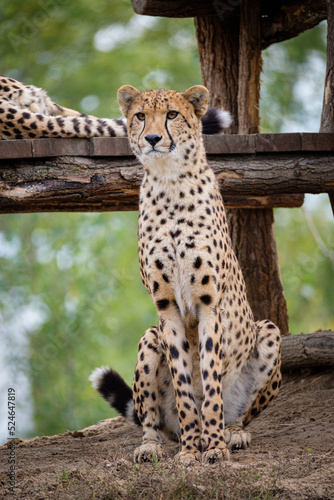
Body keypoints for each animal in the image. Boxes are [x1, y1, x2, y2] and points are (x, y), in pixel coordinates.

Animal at [90, 85, 280, 464]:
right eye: (140, 116)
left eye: (172, 115)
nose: (151, 138)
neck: (169, 182)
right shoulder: (166, 309)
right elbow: (184, 383)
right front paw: (192, 449)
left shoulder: (209, 305)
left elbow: (209, 380)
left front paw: (215, 447)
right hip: (149, 339)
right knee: (151, 419)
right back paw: (152, 446)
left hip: (268, 330)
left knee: (240, 413)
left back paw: (232, 434)